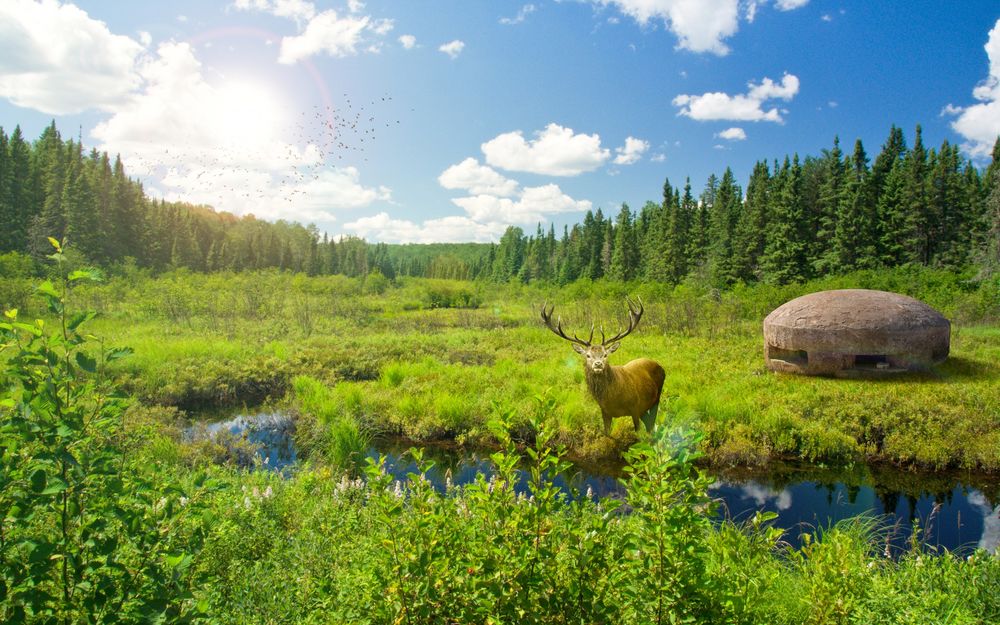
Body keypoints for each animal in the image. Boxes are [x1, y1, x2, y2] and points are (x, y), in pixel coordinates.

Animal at [541, 298, 665, 435]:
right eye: (588, 355)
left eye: (605, 354)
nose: (598, 364)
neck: (613, 399)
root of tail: (660, 365)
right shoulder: (605, 411)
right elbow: (607, 434)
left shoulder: (635, 407)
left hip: (656, 398)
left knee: (652, 424)